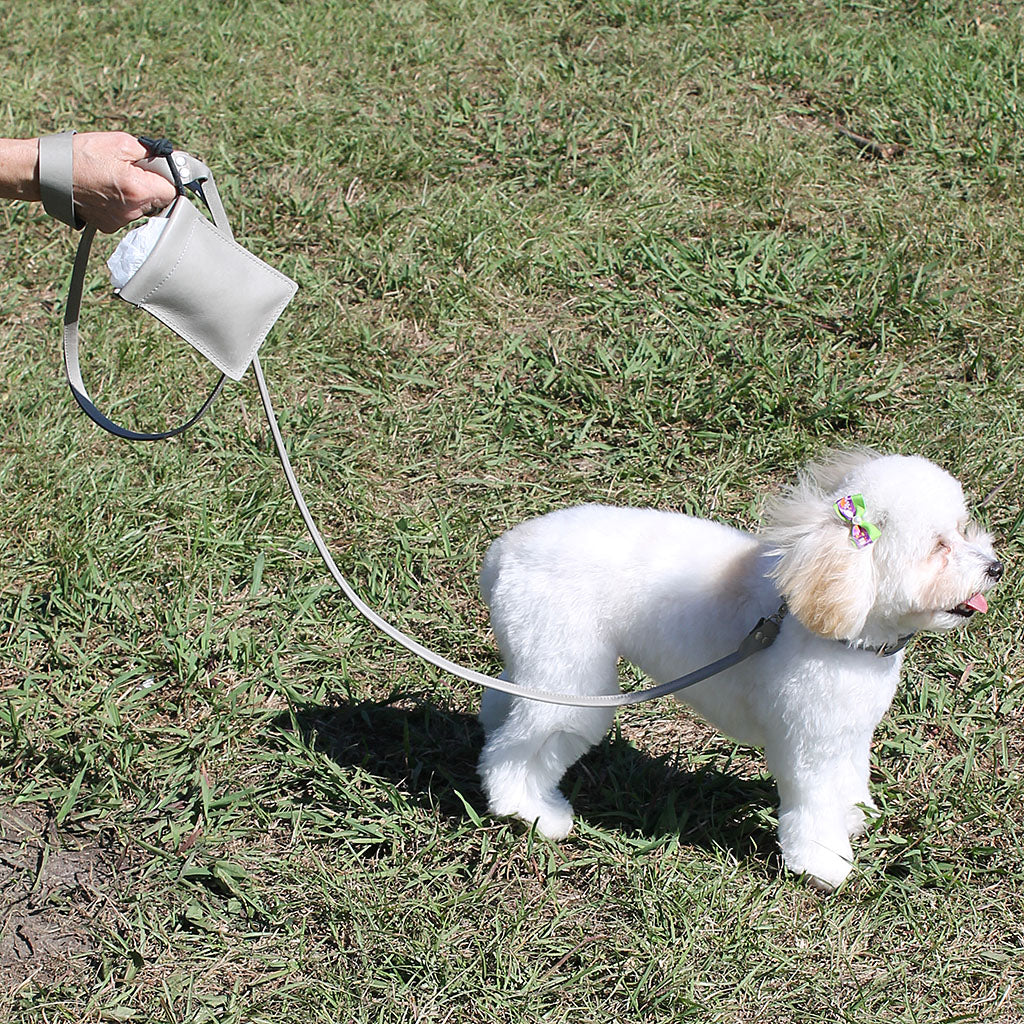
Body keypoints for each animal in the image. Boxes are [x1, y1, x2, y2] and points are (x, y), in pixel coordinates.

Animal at [477, 450, 999, 888]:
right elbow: (814, 803)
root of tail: (504, 550)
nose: (994, 568)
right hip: (573, 679)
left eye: (963, 527)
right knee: (515, 751)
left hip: (542, 660)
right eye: (938, 547)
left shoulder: (846, 730)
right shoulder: (807, 743)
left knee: (505, 699)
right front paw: (823, 863)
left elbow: (849, 780)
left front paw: (854, 818)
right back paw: (530, 812)